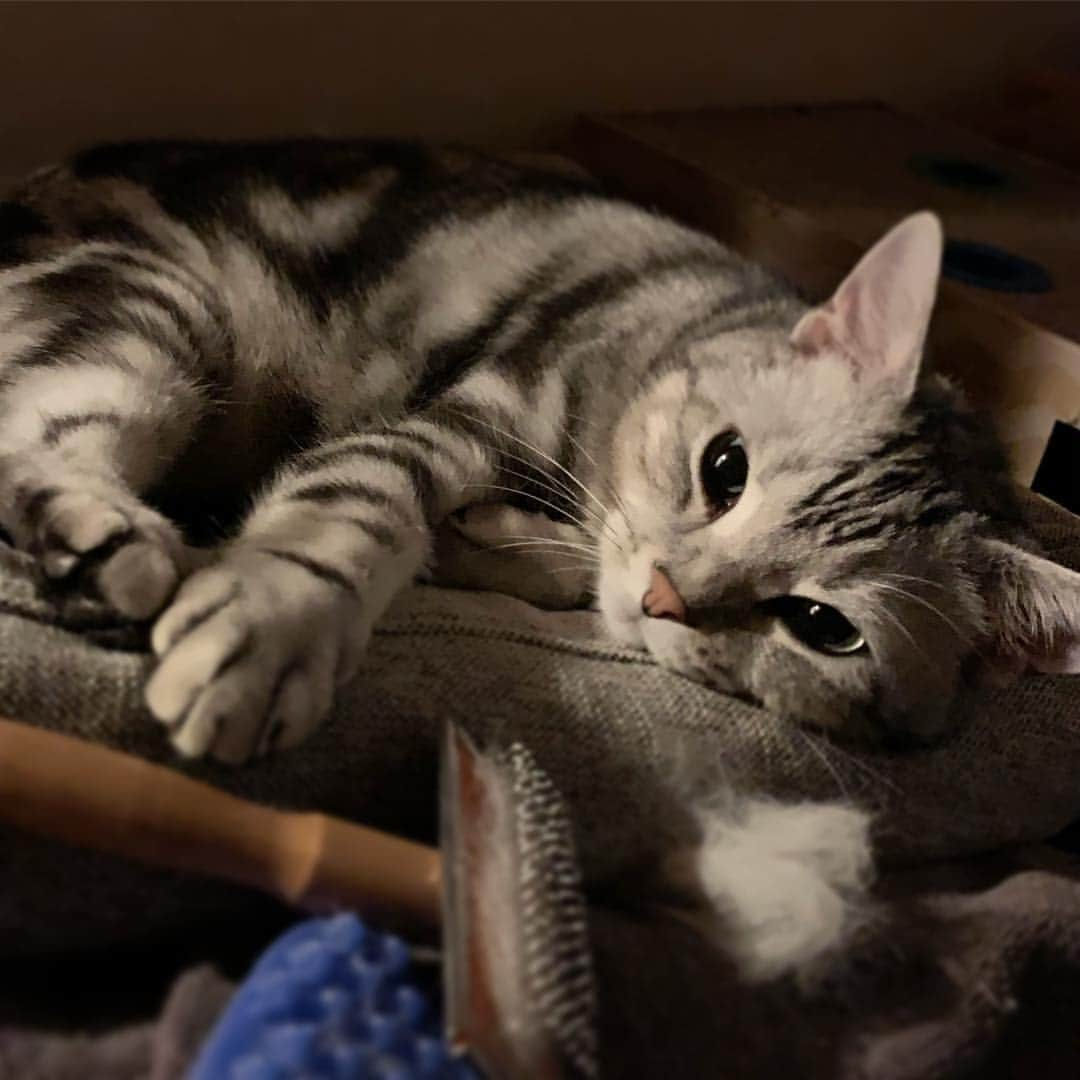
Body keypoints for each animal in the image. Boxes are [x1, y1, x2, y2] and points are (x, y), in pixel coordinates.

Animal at [2, 143, 1080, 989]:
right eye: (723, 468)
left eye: (825, 627)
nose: (669, 597)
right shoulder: (470, 411)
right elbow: (360, 504)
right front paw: (274, 619)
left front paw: (502, 543)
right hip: (163, 309)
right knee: (33, 447)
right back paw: (108, 545)